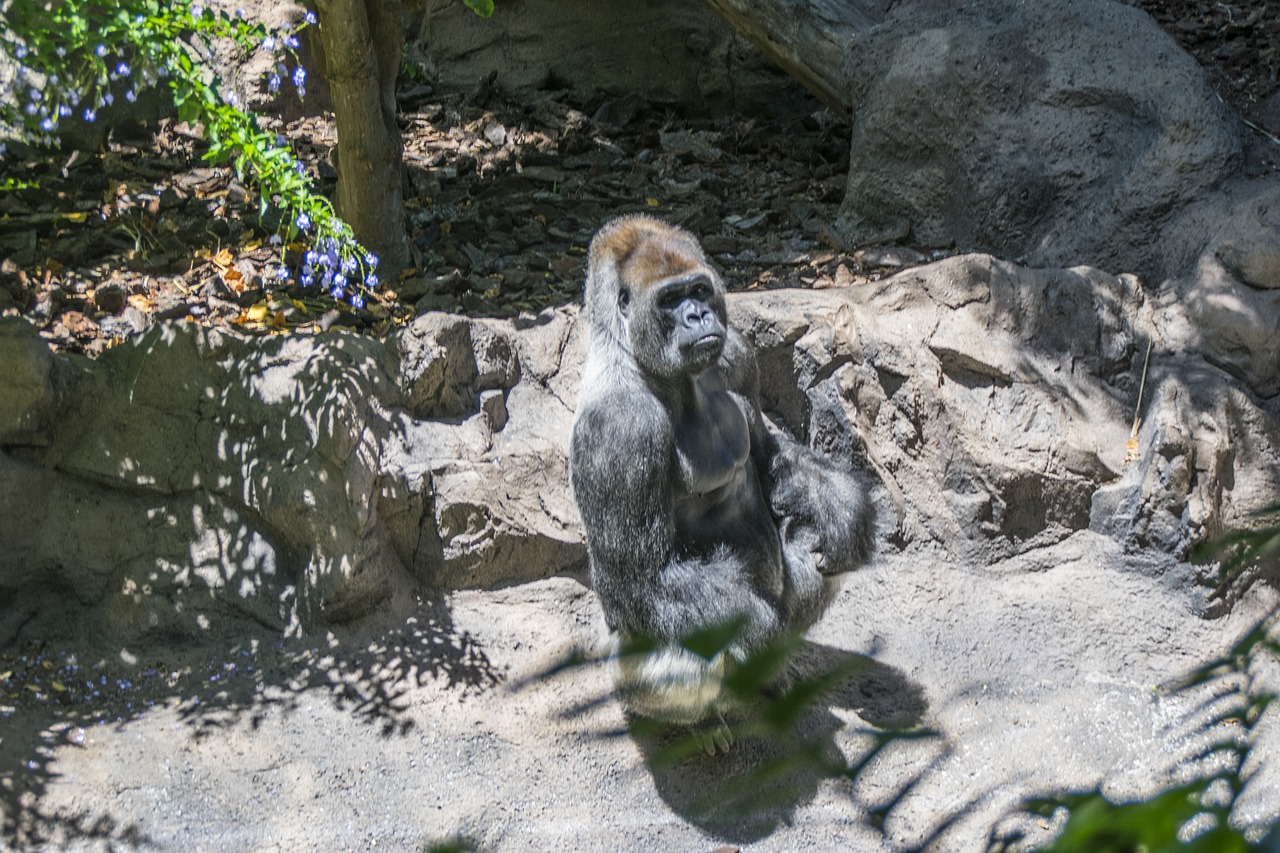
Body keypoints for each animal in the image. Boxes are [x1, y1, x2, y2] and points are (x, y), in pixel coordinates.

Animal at [573, 213, 880, 753]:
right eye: (670, 300)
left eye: (699, 290)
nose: (697, 316)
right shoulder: (619, 428)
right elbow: (642, 580)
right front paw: (757, 633)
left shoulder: (736, 352)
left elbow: (766, 453)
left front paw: (845, 509)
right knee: (684, 656)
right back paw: (697, 724)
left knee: (818, 561)